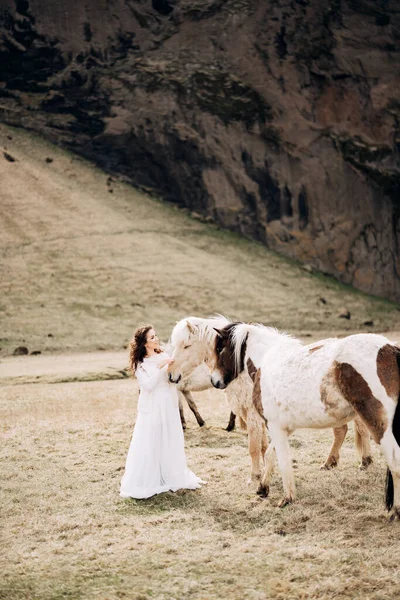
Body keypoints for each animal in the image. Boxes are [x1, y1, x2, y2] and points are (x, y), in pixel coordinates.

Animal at [208, 326, 400, 516]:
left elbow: (283, 461)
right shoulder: (285, 428)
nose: (214, 380)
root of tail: (390, 348)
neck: (266, 359)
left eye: (220, 348)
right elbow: (270, 454)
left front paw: (287, 498)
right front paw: (263, 488)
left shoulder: (275, 427)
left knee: (394, 460)